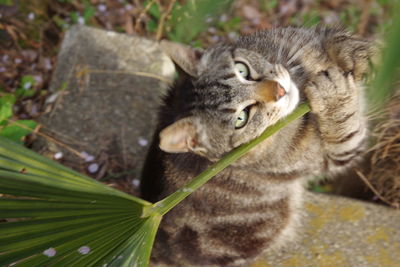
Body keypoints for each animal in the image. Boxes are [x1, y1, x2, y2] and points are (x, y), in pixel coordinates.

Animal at [139, 25, 374, 267]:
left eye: (242, 70)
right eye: (241, 118)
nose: (280, 90)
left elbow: (328, 39)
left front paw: (349, 51)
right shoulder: (331, 155)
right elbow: (345, 125)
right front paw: (333, 97)